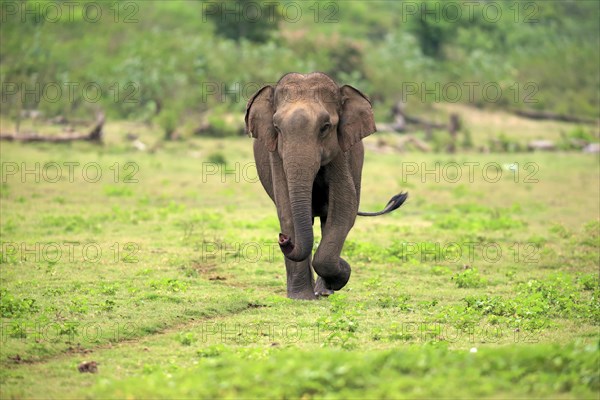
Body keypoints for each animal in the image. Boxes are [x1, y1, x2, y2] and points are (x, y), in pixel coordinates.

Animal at [245, 72, 408, 298]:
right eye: (277, 128)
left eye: (325, 127)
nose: (283, 239)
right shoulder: (276, 154)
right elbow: (286, 210)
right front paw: (301, 299)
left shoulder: (341, 152)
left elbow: (344, 209)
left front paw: (340, 275)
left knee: (327, 219)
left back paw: (324, 291)